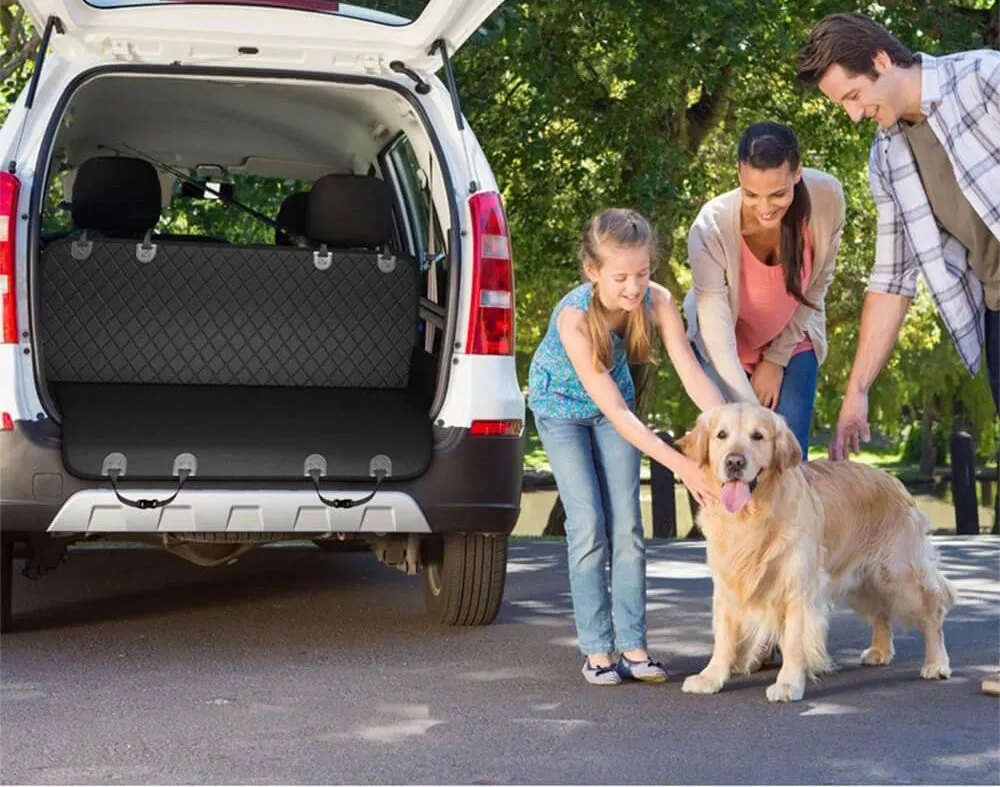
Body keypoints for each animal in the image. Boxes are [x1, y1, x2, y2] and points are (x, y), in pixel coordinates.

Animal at [676, 404, 956, 704]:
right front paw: (710, 677)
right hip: (864, 581)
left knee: (933, 613)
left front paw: (788, 684)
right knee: (881, 612)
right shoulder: (727, 584)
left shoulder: (799, 588)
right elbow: (724, 637)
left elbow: (793, 641)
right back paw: (880, 651)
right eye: (721, 435)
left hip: (898, 573)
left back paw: (936, 663)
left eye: (758, 436)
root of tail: (896, 481)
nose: (735, 462)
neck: (752, 516)